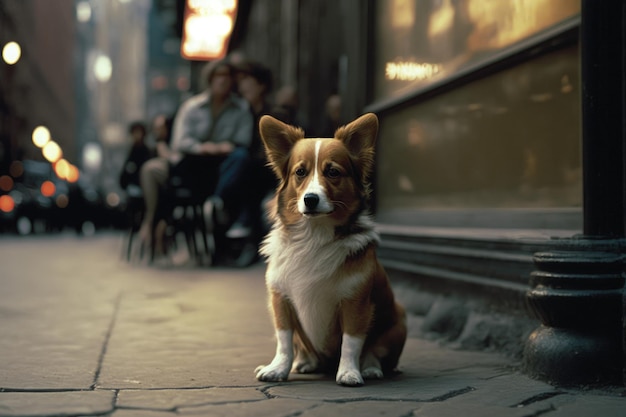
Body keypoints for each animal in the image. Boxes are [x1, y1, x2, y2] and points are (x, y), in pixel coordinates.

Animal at [255, 112, 408, 386]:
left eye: (333, 172)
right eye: (300, 172)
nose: (310, 199)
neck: (314, 236)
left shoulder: (356, 304)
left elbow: (352, 343)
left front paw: (349, 372)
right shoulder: (280, 300)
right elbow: (284, 341)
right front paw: (278, 368)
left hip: (398, 321)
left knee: (375, 351)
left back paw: (370, 368)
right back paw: (306, 363)